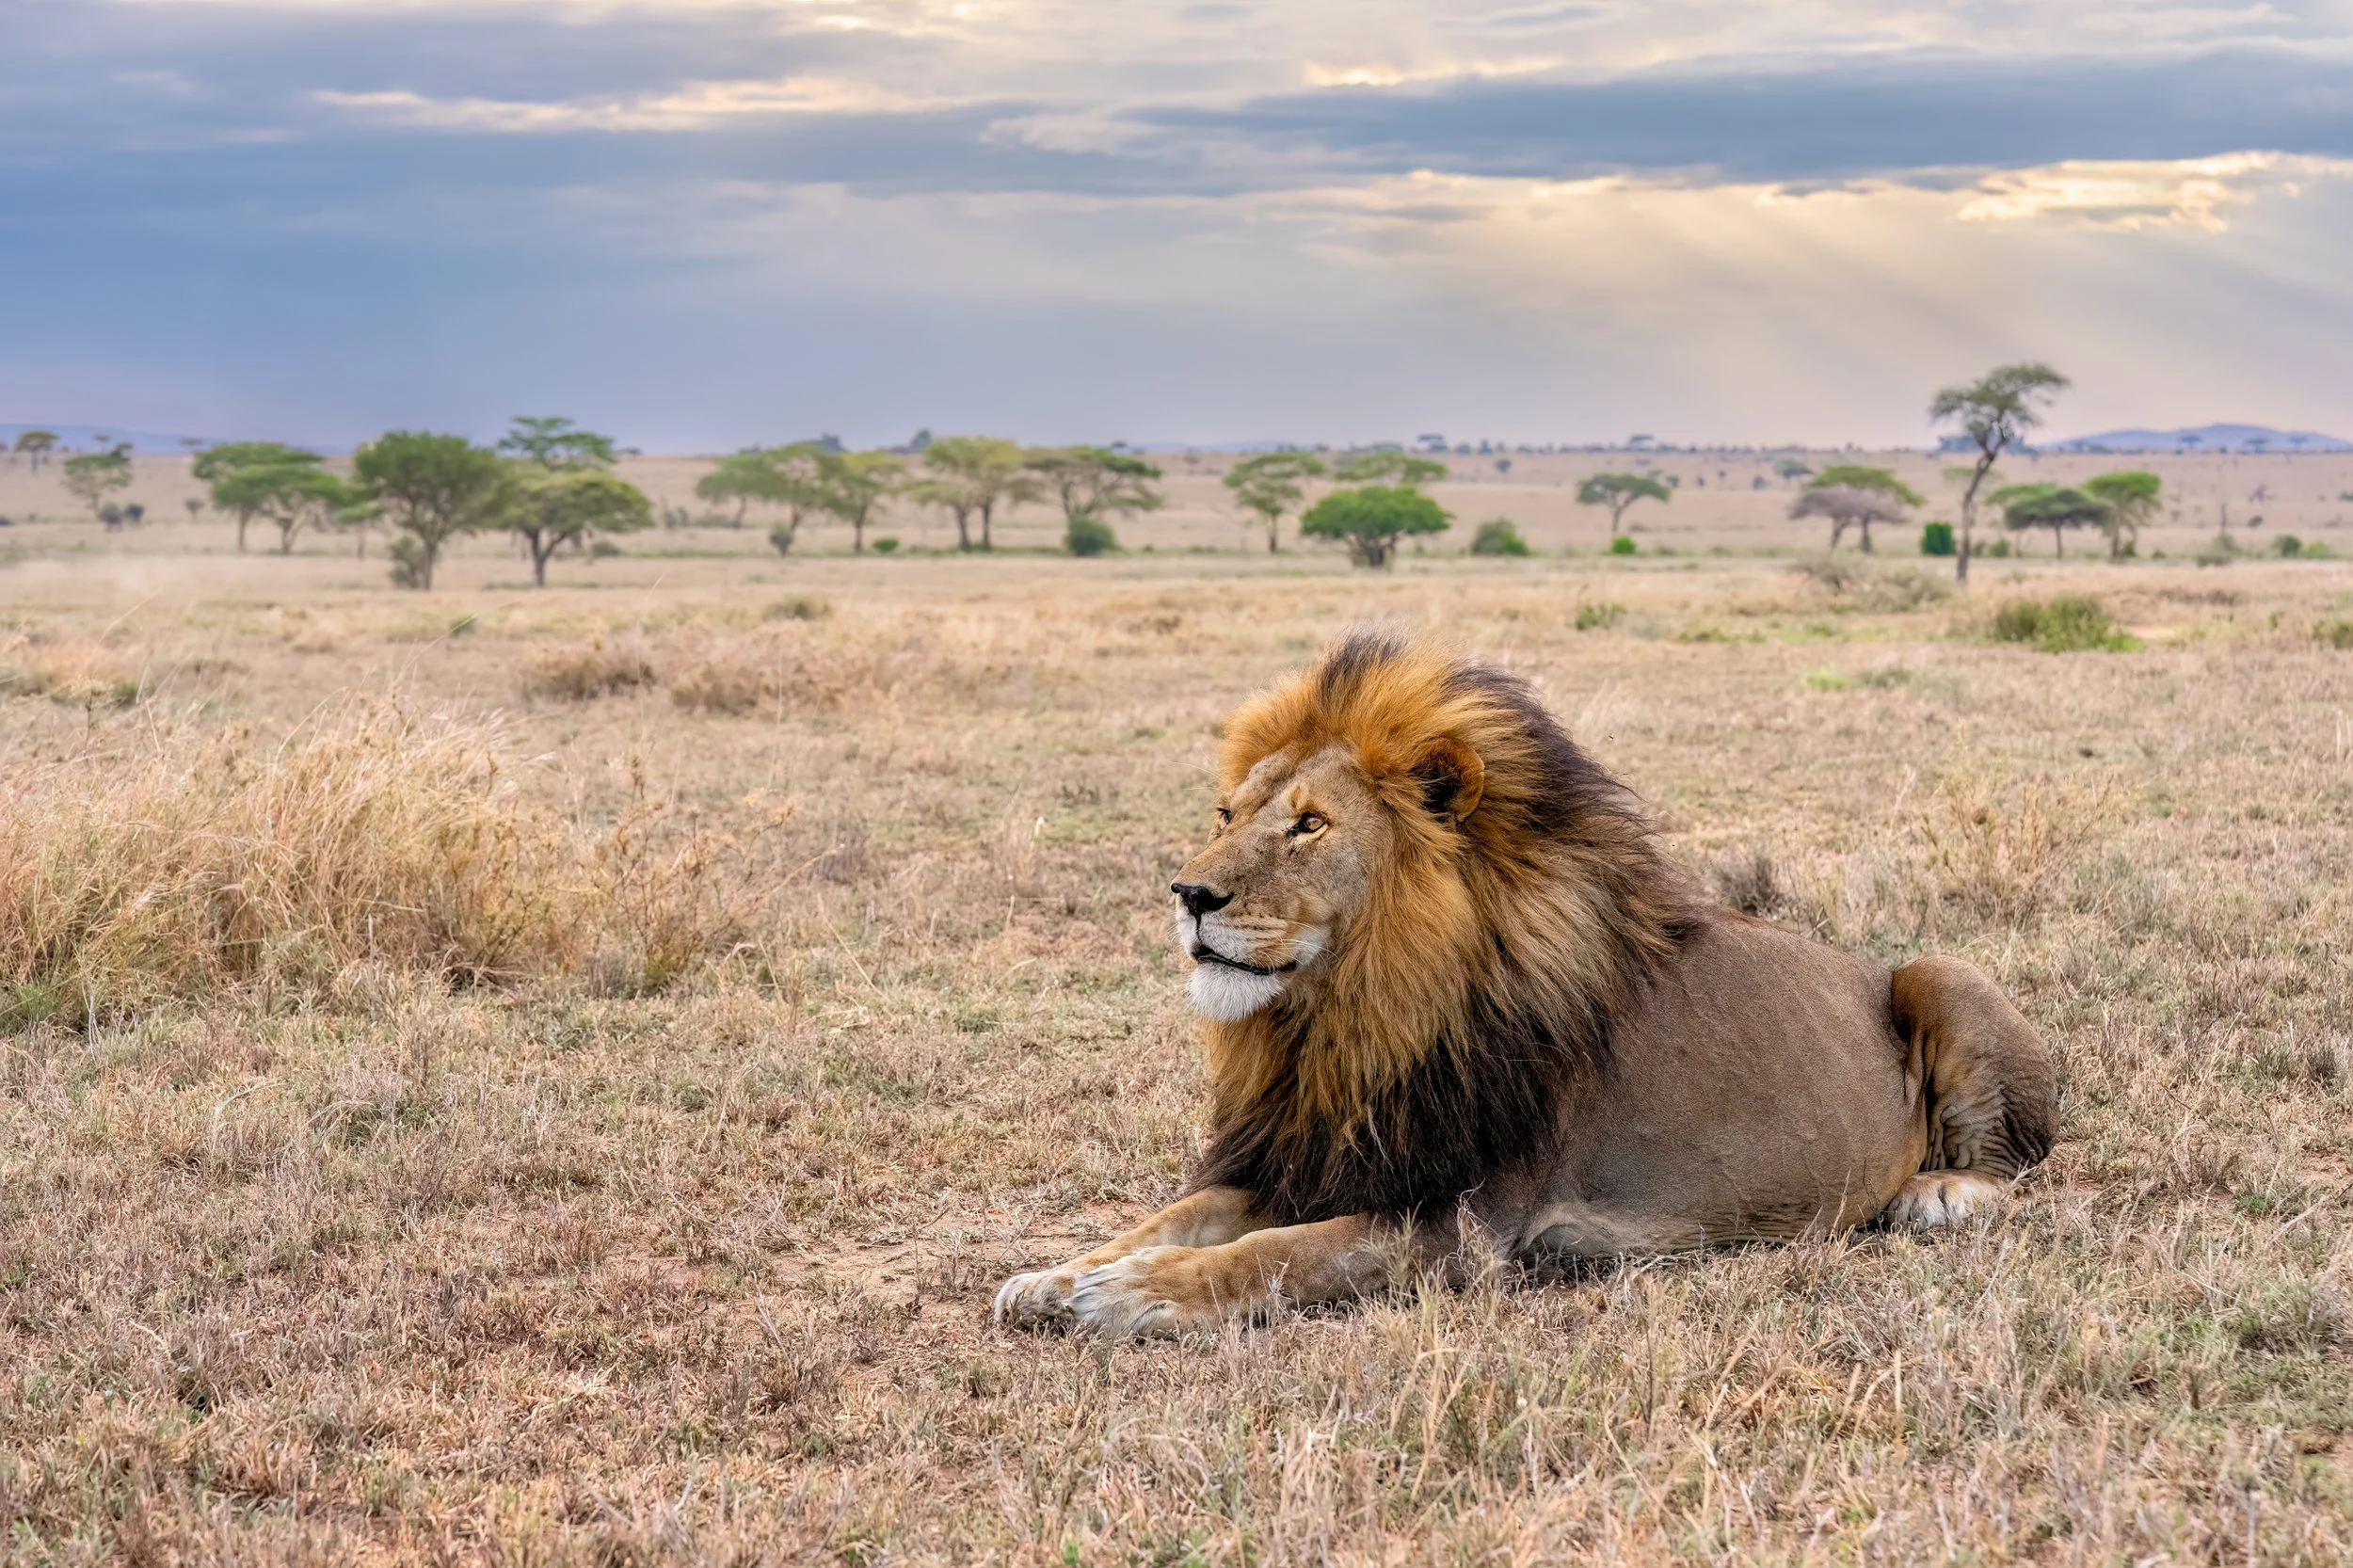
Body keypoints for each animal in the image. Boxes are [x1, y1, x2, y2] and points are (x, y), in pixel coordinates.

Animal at [995, 633, 2058, 1338]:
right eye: (1227, 813)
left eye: (1309, 824)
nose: (1189, 894)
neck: (1352, 1018)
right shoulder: (1311, 1155)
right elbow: (1174, 1216)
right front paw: (1055, 1276)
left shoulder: (1459, 1225)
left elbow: (1276, 1255)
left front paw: (1136, 1294)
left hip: (1942, 971)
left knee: (2019, 1169)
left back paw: (1936, 1194)